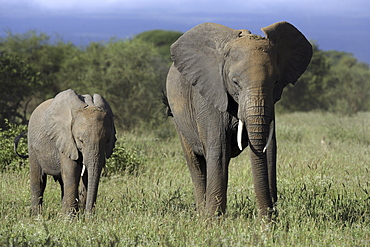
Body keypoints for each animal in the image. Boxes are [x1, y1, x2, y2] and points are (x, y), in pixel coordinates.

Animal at [166, 21, 314, 218]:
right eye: (235, 82)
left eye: (276, 82)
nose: (267, 217)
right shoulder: (209, 95)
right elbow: (219, 149)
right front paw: (213, 221)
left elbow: (269, 150)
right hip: (178, 119)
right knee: (196, 163)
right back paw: (202, 214)